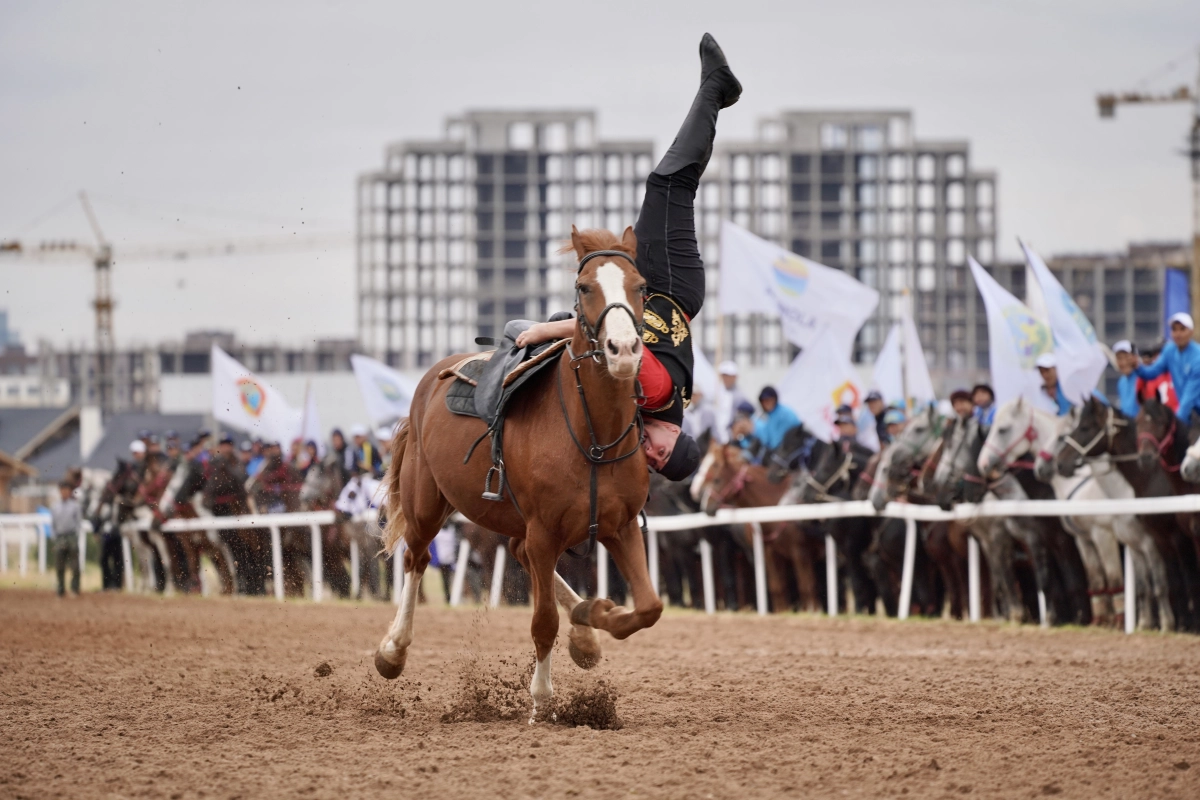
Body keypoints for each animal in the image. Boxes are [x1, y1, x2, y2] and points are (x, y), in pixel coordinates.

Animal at [372, 226, 662, 719]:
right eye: (585, 288)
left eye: (640, 286)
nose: (623, 350)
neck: (592, 434)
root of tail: (431, 378)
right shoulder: (544, 529)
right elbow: (543, 621)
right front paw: (542, 700)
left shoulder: (620, 527)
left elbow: (648, 608)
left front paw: (594, 616)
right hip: (426, 503)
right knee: (416, 558)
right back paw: (393, 651)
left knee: (517, 551)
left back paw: (584, 633)